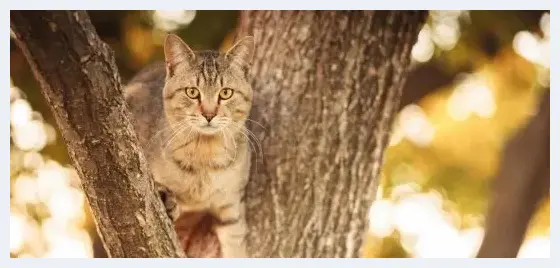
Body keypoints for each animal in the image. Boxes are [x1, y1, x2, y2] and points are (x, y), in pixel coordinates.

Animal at [123, 33, 255, 258]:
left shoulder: (231, 208)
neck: (205, 157)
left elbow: (236, 244)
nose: (209, 114)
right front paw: (166, 198)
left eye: (226, 93)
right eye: (192, 92)